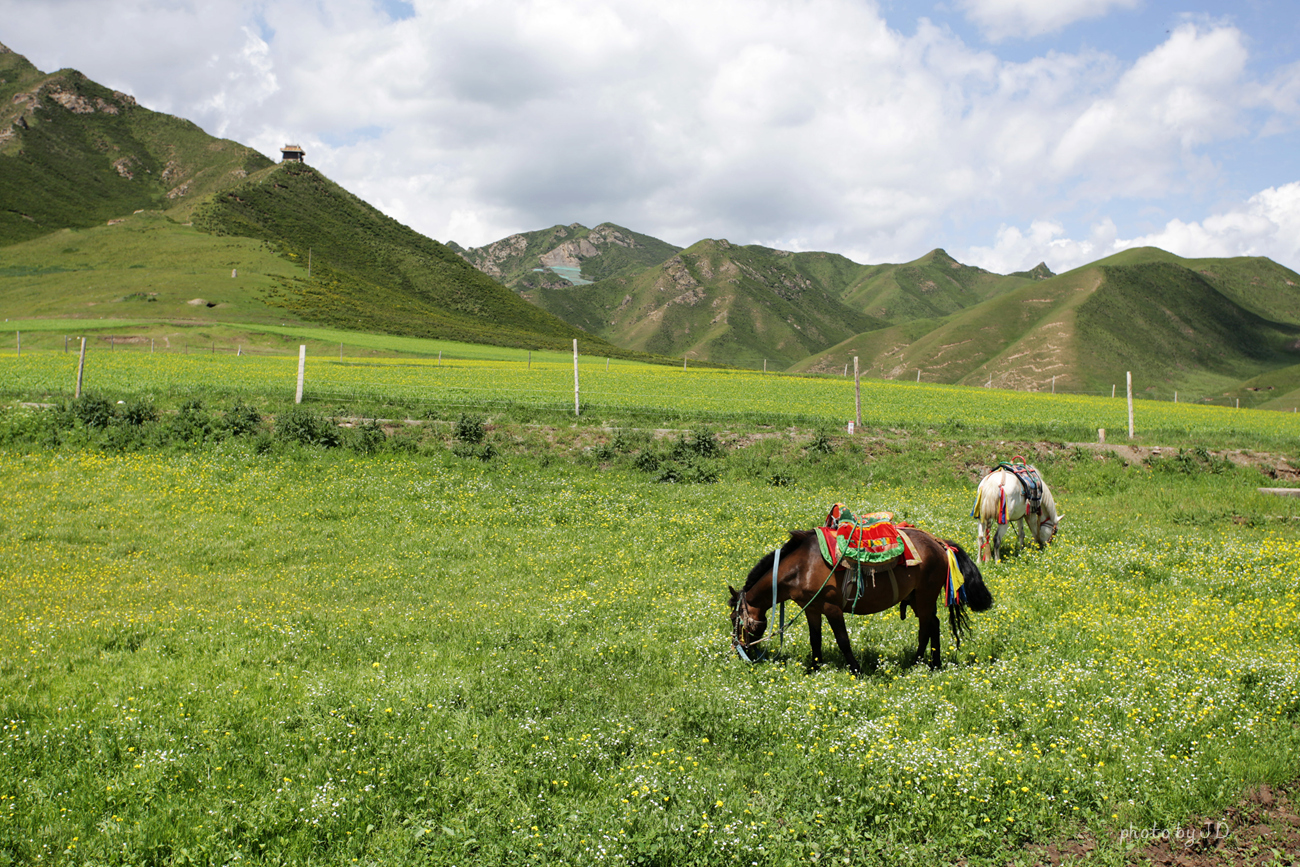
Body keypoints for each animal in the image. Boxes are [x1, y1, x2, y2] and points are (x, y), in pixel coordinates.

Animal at [728, 525, 987, 675]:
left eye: (734, 619)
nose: (738, 651)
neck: (802, 566)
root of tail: (940, 544)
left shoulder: (832, 608)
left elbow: (843, 640)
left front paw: (855, 670)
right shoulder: (812, 609)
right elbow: (815, 640)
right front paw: (813, 668)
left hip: (924, 598)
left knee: (927, 628)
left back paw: (920, 664)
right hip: (916, 598)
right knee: (933, 625)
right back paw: (931, 663)